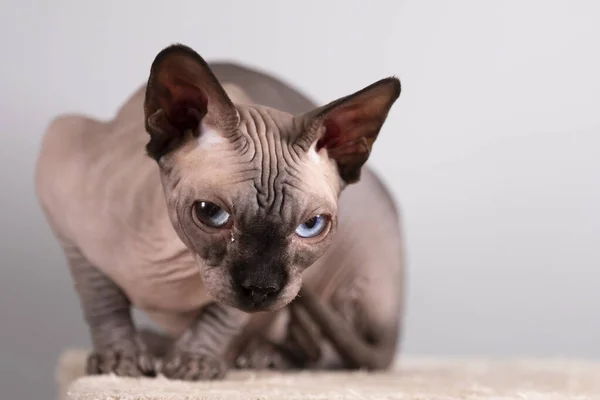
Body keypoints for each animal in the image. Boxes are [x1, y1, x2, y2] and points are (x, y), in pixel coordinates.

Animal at [34, 43, 408, 382]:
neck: (169, 264)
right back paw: (159, 345)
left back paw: (263, 355)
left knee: (329, 352)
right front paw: (118, 359)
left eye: (311, 225)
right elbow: (103, 303)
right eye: (210, 213)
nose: (262, 288)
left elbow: (221, 316)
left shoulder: (240, 301)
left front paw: (194, 363)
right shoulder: (70, 229)